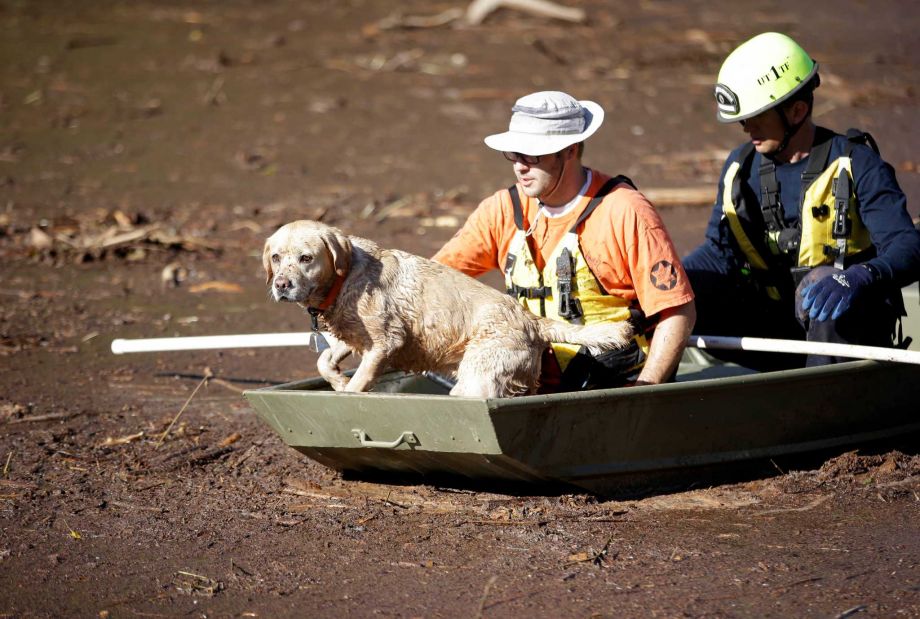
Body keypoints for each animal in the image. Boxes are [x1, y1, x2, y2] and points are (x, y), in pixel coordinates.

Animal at [262, 220, 628, 400]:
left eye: (306, 258)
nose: (281, 285)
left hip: (476, 378)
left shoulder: (385, 342)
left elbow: (360, 380)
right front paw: (337, 381)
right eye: (276, 258)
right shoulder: (354, 337)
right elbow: (324, 360)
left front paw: (347, 391)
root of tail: (531, 321)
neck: (346, 276)